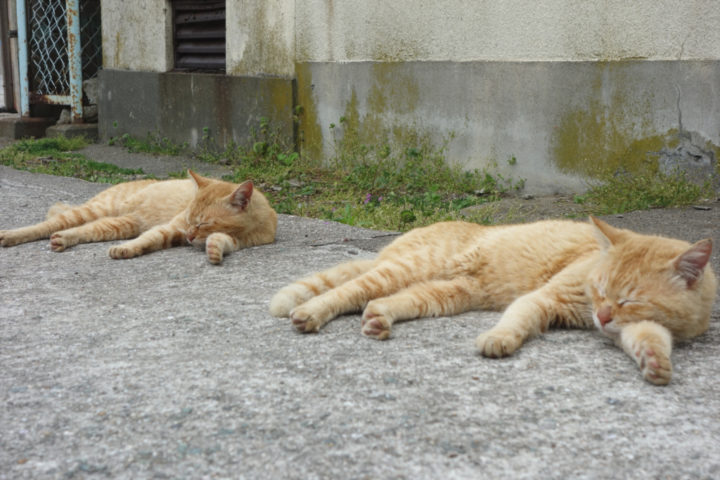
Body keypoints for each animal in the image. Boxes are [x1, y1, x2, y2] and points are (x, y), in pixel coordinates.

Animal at [0, 171, 278, 264]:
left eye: (203, 224)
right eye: (190, 220)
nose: (189, 236)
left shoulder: (237, 242)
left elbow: (220, 241)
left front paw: (213, 249)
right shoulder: (171, 228)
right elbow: (148, 239)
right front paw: (127, 249)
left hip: (118, 224)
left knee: (84, 230)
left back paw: (62, 240)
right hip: (96, 210)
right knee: (49, 224)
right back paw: (10, 236)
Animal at [272, 218, 716, 386]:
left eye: (629, 300)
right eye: (600, 289)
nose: (603, 315)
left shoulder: (632, 328)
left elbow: (649, 338)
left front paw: (656, 363)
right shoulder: (544, 298)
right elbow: (516, 319)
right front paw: (499, 339)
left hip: (446, 294)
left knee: (388, 300)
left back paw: (379, 319)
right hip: (406, 269)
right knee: (347, 290)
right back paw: (309, 313)